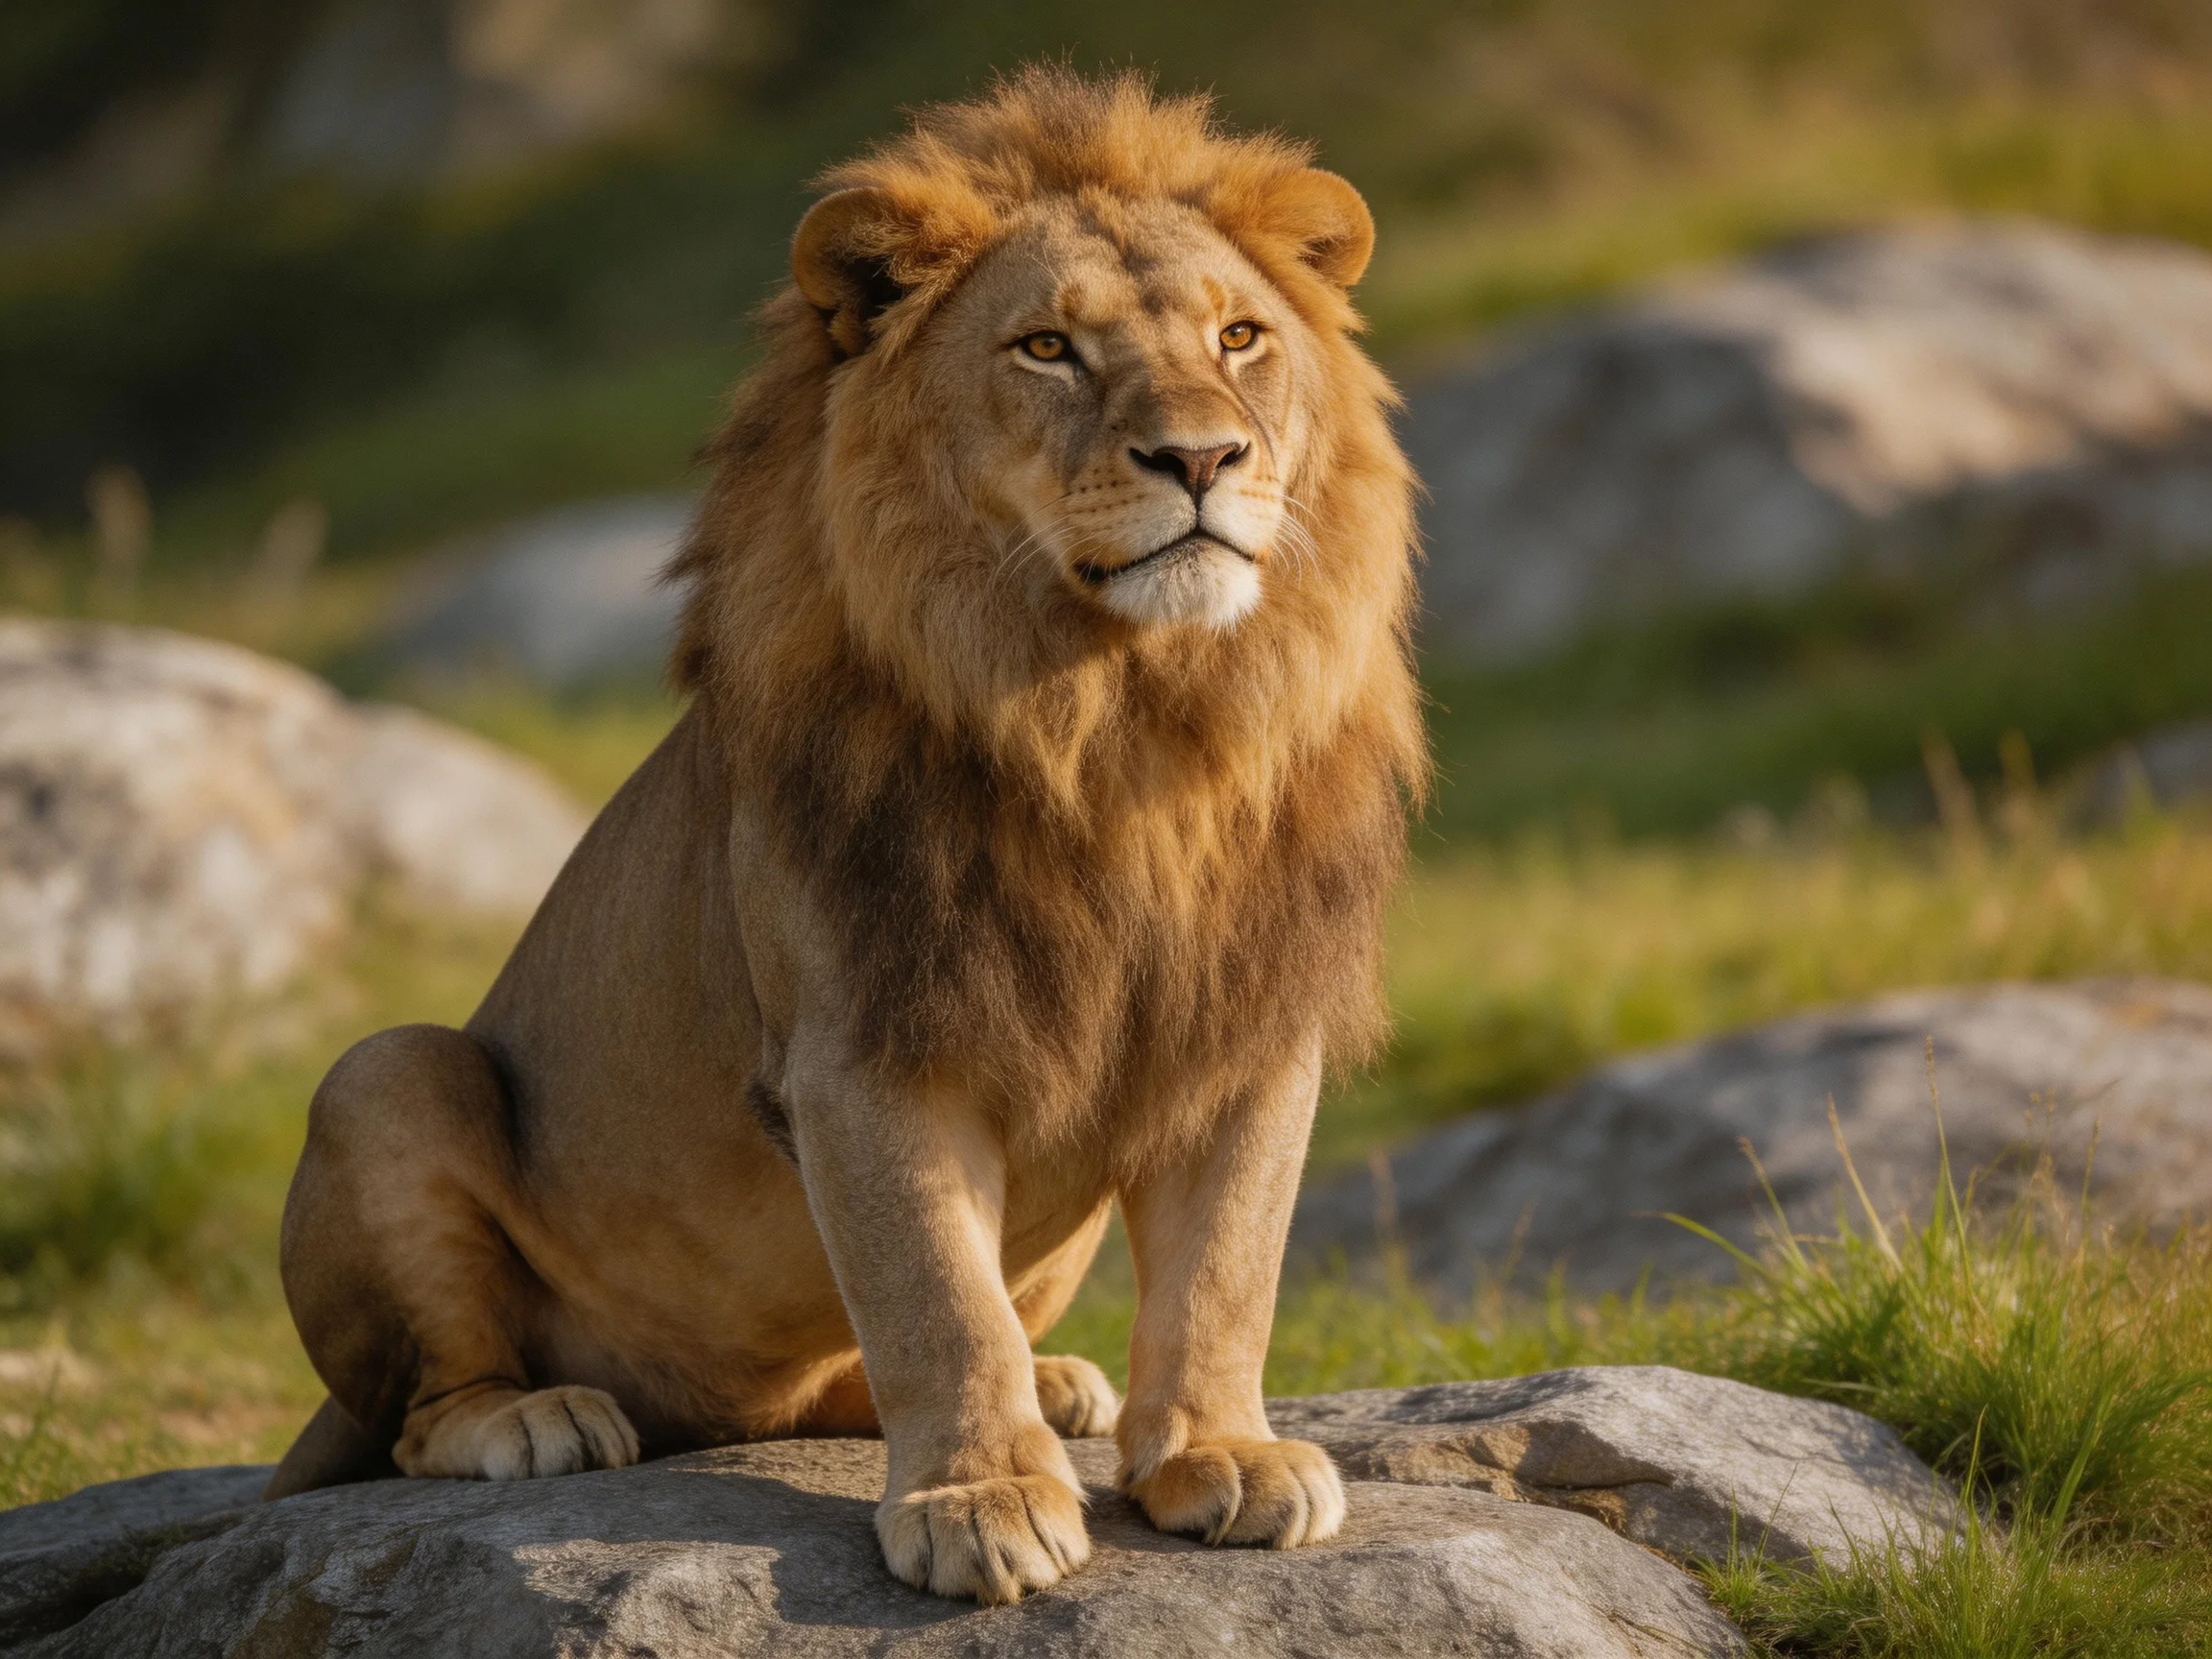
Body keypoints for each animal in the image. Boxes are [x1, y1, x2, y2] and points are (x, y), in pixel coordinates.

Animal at [269, 67, 1426, 1604]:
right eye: (1047, 348)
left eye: (1241, 338)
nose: (1202, 456)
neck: (1120, 722)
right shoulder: (866, 1049)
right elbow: (933, 1294)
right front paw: (981, 1501)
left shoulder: (1246, 1029)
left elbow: (1227, 1270)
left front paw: (1217, 1455)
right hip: (383, 1074)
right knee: (415, 1411)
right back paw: (540, 1418)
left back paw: (1060, 1388)